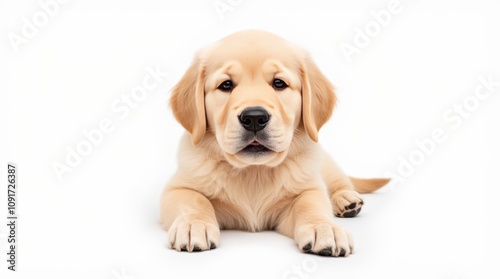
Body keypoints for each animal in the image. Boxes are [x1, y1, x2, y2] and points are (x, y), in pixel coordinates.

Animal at [162, 29, 388, 258]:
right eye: (226, 85)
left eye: (279, 83)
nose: (254, 117)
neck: (253, 171)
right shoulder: (176, 188)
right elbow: (194, 201)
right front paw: (192, 225)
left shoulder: (309, 188)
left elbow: (311, 203)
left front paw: (324, 228)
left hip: (326, 164)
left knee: (340, 182)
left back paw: (347, 200)